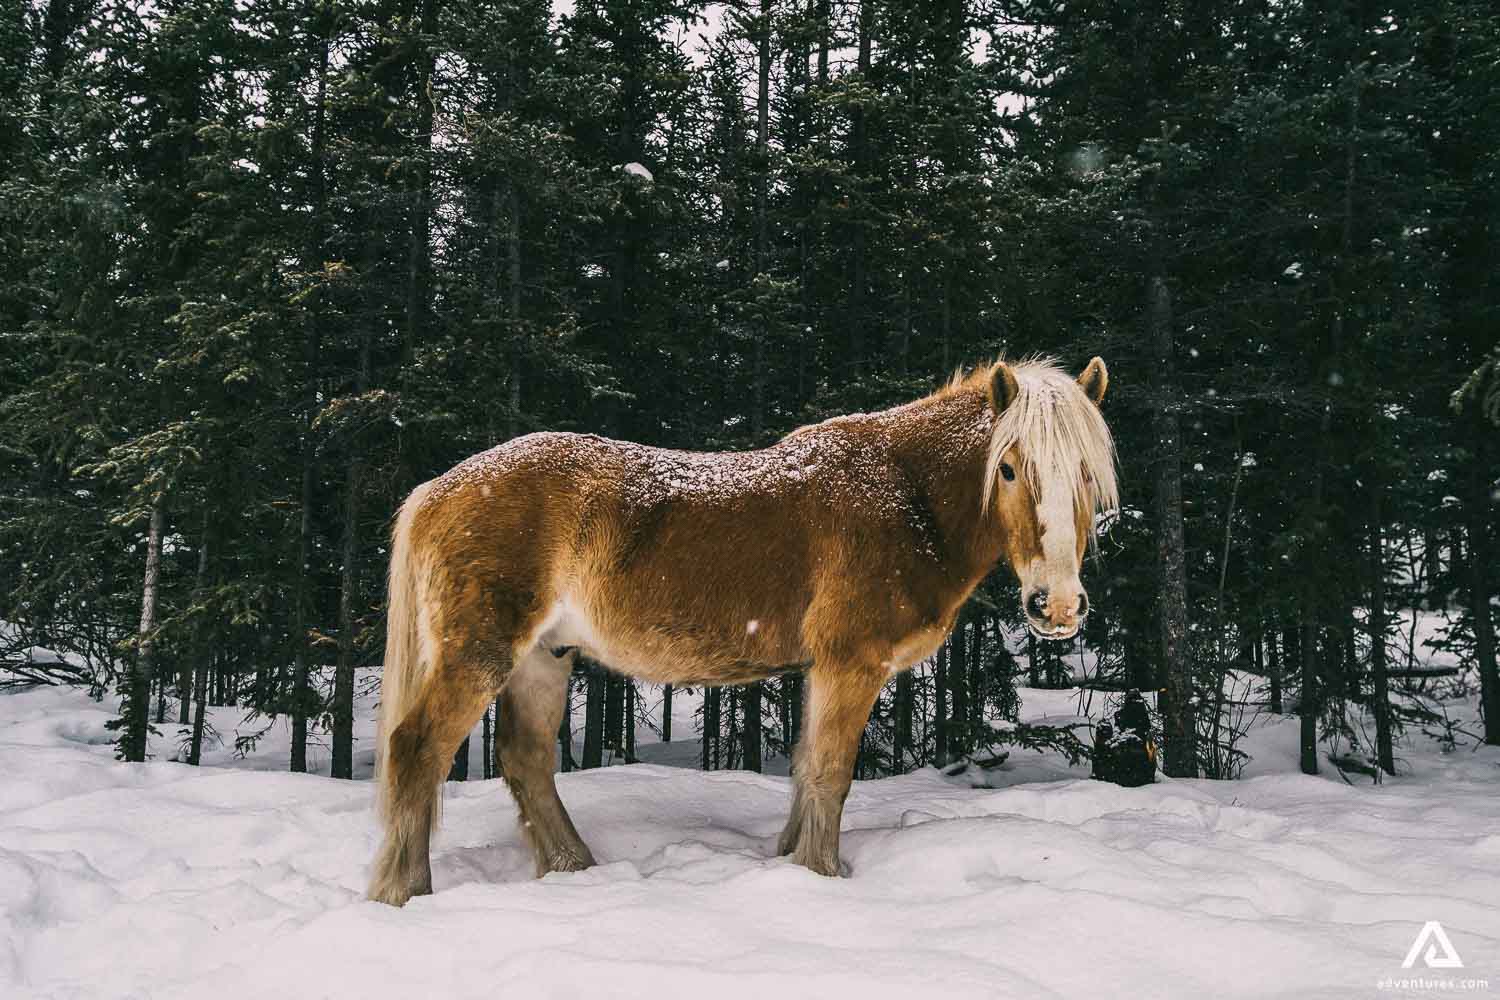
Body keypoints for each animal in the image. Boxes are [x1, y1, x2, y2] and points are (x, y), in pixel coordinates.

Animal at [368, 356, 1117, 906]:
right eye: (1009, 468)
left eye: (1087, 474)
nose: (1056, 606)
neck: (906, 496)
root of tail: (438, 488)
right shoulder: (851, 664)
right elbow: (830, 775)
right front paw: (822, 877)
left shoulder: (819, 672)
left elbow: (808, 769)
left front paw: (791, 864)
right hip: (479, 654)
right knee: (417, 750)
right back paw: (404, 893)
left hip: (544, 658)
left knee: (525, 760)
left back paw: (574, 869)